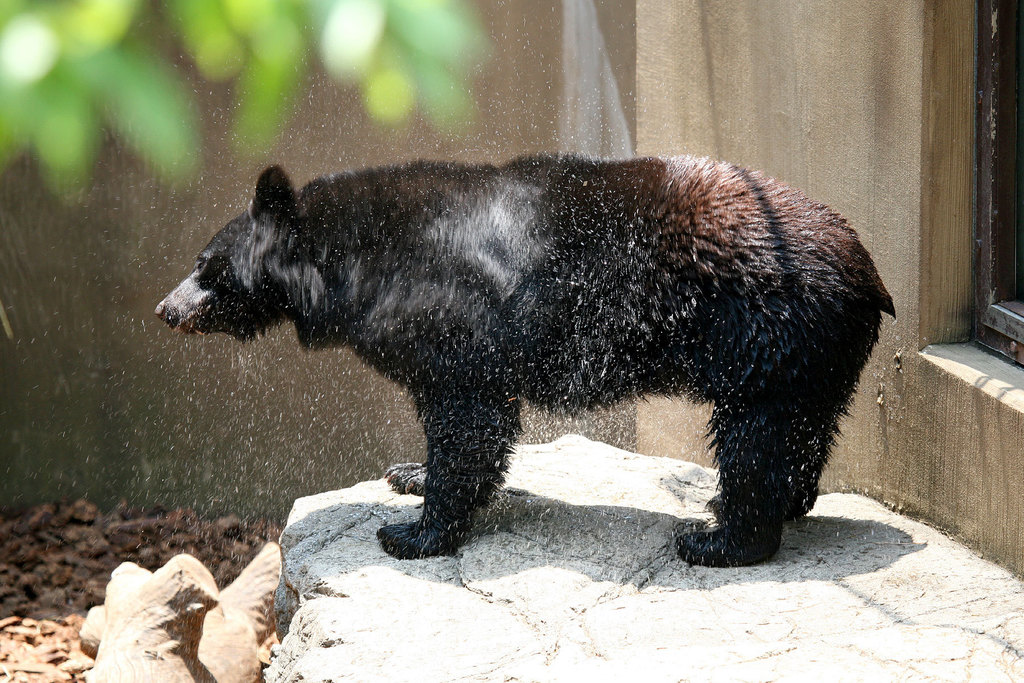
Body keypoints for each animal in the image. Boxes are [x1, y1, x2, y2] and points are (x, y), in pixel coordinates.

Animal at [155, 154, 892, 565]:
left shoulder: (450, 313)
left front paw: (412, 533)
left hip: (766, 330)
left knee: (756, 435)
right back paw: (777, 503)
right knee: (805, 430)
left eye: (207, 269)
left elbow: (467, 419)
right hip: (817, 354)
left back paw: (716, 539)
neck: (355, 260)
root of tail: (871, 276)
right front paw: (408, 473)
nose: (165, 308)